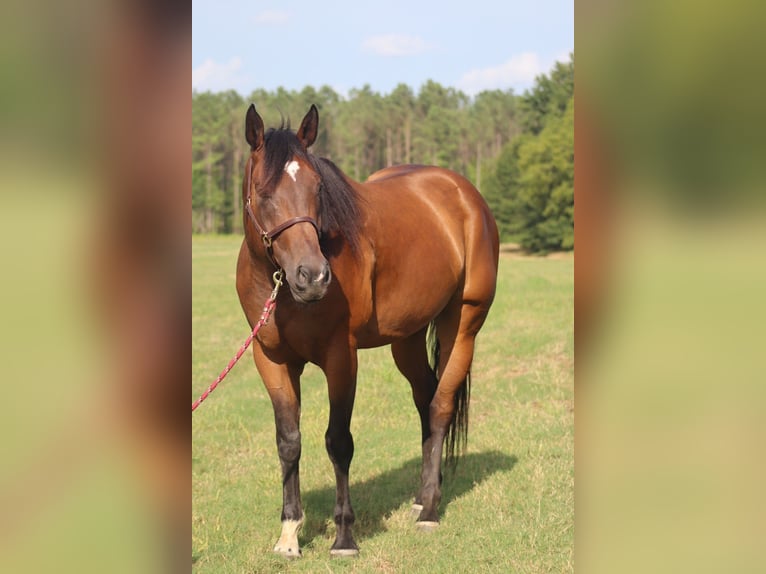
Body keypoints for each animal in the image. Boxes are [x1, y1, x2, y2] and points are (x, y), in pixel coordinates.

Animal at [236, 104, 499, 558]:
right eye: (263, 191)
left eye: (318, 188)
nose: (313, 277)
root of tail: (467, 195)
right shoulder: (271, 359)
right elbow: (289, 441)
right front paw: (289, 534)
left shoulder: (341, 358)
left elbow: (338, 441)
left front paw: (344, 537)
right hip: (406, 339)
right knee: (425, 398)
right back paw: (423, 496)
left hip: (463, 324)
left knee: (440, 406)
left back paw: (430, 511)